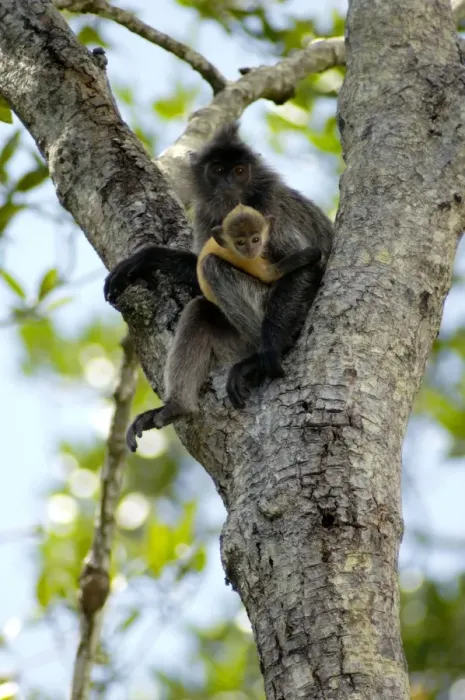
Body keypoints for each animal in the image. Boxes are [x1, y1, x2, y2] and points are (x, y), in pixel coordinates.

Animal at [104, 121, 334, 452]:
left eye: (239, 171)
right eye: (218, 170)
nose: (228, 185)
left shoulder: (269, 208)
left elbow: (308, 261)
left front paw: (272, 351)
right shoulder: (206, 215)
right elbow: (198, 275)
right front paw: (145, 259)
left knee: (214, 268)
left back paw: (263, 354)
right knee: (200, 309)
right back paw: (176, 407)